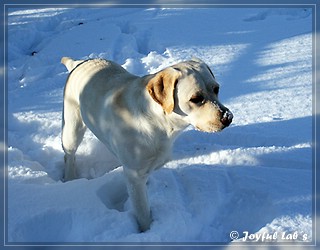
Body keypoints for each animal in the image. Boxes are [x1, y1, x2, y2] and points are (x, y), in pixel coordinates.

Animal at [61, 56, 234, 230]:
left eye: (216, 89)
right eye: (196, 99)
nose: (228, 117)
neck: (158, 123)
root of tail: (78, 62)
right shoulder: (134, 176)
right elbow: (143, 213)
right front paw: (147, 231)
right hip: (72, 127)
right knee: (69, 154)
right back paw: (70, 178)